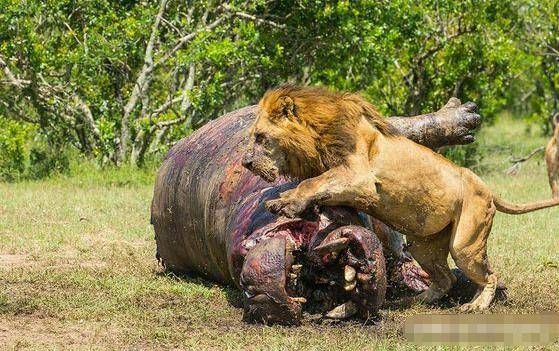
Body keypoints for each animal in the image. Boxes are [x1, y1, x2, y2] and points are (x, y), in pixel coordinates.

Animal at [243, 86, 559, 314]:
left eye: (260, 137)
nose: (246, 162)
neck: (317, 135)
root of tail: (487, 188)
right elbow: (316, 185)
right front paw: (290, 202)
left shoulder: (360, 177)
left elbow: (312, 182)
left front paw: (286, 203)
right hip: (423, 246)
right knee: (446, 280)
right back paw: (410, 302)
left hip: (465, 243)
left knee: (490, 275)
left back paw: (476, 305)